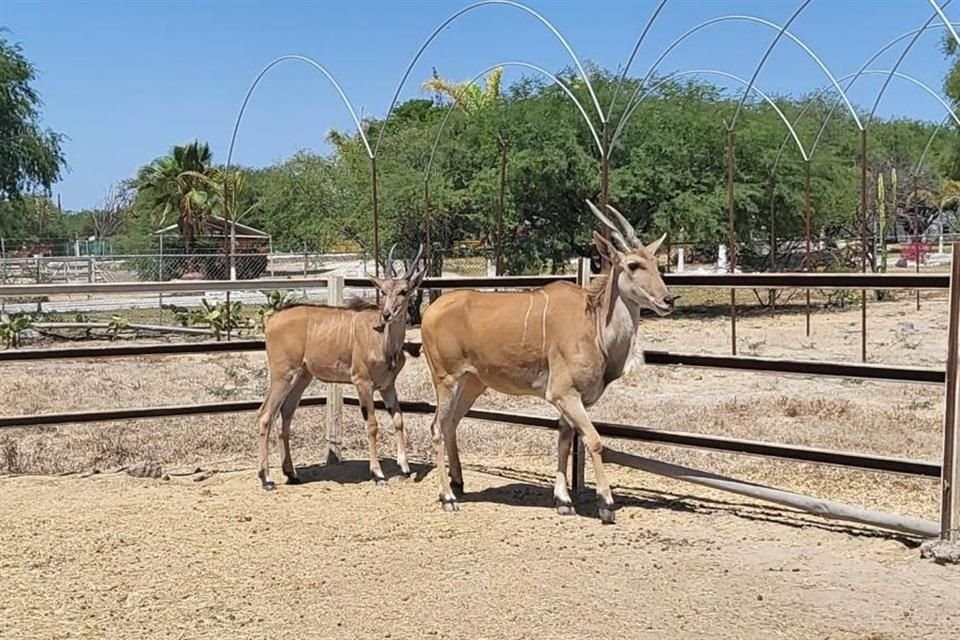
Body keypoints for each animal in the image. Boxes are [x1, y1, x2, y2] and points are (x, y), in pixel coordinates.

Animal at [253, 245, 426, 490]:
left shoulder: (387, 386)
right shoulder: (362, 383)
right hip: (282, 375)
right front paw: (378, 473)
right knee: (265, 414)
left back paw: (291, 474)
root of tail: (271, 319)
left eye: (403, 291)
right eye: (383, 291)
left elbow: (399, 420)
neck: (383, 342)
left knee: (285, 414)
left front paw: (405, 467)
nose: (387, 314)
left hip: (302, 377)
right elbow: (372, 425)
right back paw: (266, 478)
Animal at [420, 202, 676, 524]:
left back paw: (458, 482)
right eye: (633, 265)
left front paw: (563, 500)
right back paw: (447, 496)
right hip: (447, 379)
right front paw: (605, 503)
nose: (668, 300)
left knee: (451, 423)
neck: (593, 325)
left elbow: (564, 441)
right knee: (436, 428)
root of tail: (430, 311)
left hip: (472, 383)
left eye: (655, 263)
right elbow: (594, 440)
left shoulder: (571, 401)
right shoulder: (564, 394)